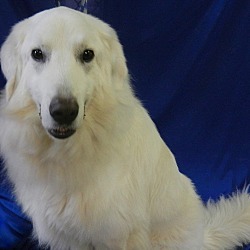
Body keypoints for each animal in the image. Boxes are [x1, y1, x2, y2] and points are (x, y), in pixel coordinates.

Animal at [0, 6, 250, 249]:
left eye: (87, 55)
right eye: (37, 54)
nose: (64, 112)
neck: (71, 150)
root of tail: (202, 236)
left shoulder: (118, 235)